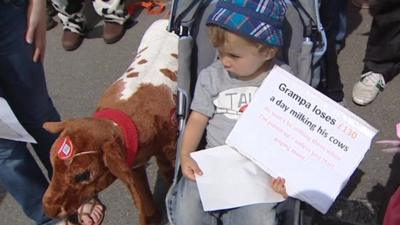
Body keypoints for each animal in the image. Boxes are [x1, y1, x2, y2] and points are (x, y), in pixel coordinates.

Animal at [42, 19, 178, 225]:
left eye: (83, 175)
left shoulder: (170, 150)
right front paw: (152, 217)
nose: (49, 208)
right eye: (52, 164)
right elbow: (142, 194)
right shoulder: (133, 162)